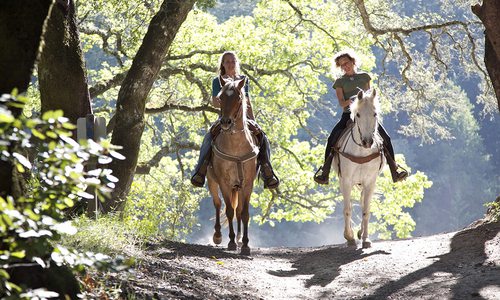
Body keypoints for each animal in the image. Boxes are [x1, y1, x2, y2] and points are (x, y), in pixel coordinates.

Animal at [205, 75, 258, 255]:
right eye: (220, 97)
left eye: (238, 98)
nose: (226, 122)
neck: (236, 148)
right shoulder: (224, 183)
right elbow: (228, 211)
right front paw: (231, 242)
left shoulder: (247, 184)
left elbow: (245, 213)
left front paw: (246, 245)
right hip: (212, 181)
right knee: (218, 204)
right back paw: (218, 235)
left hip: (238, 187)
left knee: (239, 211)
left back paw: (240, 239)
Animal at [334, 88, 384, 248]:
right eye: (358, 114)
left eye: (375, 114)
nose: (367, 142)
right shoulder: (346, 181)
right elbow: (347, 209)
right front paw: (349, 237)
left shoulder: (370, 182)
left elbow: (366, 210)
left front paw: (366, 239)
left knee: (362, 203)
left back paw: (361, 233)